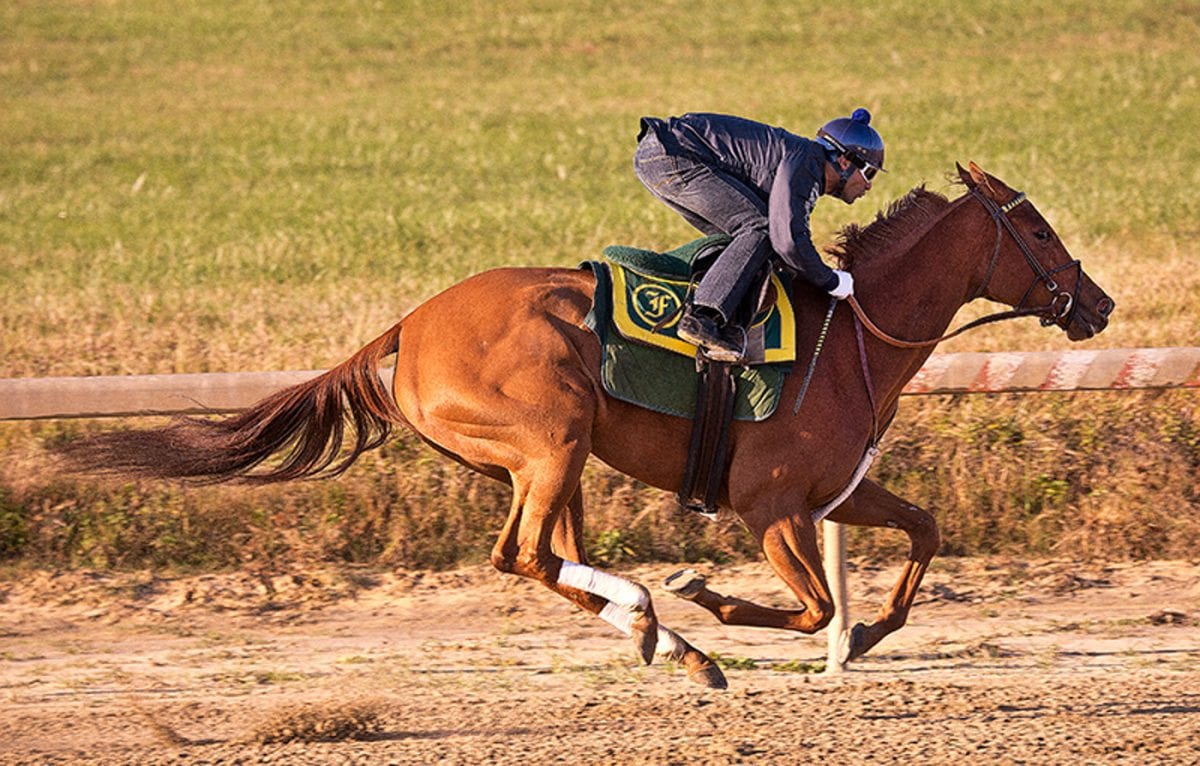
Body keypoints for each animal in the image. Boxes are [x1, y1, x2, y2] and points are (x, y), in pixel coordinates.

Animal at [60, 162, 1113, 691]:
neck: (848, 332)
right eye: (1040, 231)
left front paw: (869, 638)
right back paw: (671, 627)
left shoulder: (833, 494)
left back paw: (660, 635)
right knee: (525, 554)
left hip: (548, 460)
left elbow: (922, 534)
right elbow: (812, 604)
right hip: (549, 440)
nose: (1097, 304)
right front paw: (711, 597)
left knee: (544, 557)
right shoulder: (769, 505)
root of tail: (408, 324)